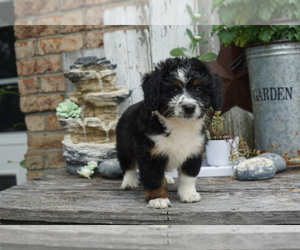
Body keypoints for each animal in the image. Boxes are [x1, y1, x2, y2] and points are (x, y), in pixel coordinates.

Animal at [116, 57, 224, 209]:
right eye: (174, 89)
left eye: (198, 89)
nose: (189, 107)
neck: (179, 125)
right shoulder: (150, 154)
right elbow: (154, 177)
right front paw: (158, 199)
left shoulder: (193, 152)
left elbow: (188, 177)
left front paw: (188, 194)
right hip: (124, 144)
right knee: (128, 164)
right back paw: (129, 182)